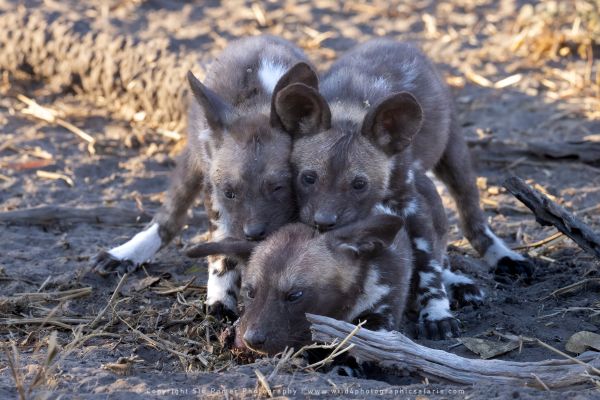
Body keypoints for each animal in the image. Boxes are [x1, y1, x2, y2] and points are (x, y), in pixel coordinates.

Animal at [92, 36, 318, 320]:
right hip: (194, 162)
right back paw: (127, 252)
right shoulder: (217, 197)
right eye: (230, 193)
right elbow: (223, 252)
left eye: (278, 187)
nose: (253, 233)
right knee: (170, 217)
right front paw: (221, 299)